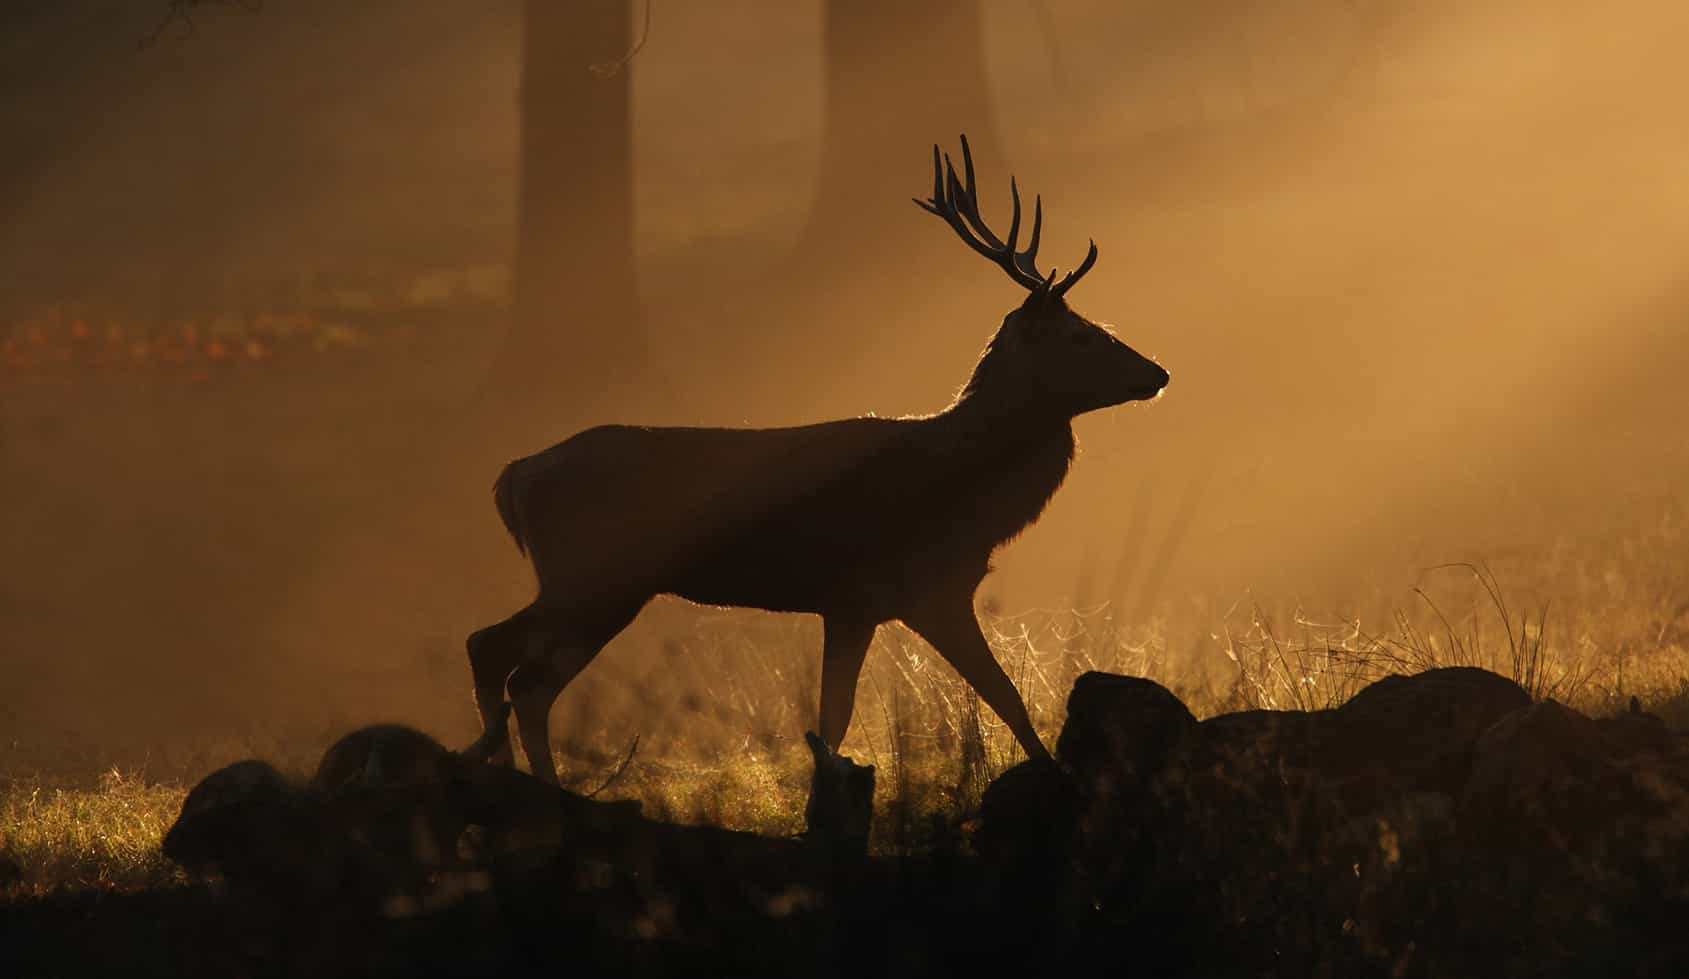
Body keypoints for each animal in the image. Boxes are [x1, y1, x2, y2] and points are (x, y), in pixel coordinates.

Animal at [468, 135, 1170, 785]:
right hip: (594, 575)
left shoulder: (893, 598)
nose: (1158, 372)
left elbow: (924, 708)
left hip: (594, 582)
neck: (959, 491)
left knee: (507, 661)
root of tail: (514, 476)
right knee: (511, 665)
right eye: (1082, 334)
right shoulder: (890, 590)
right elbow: (966, 701)